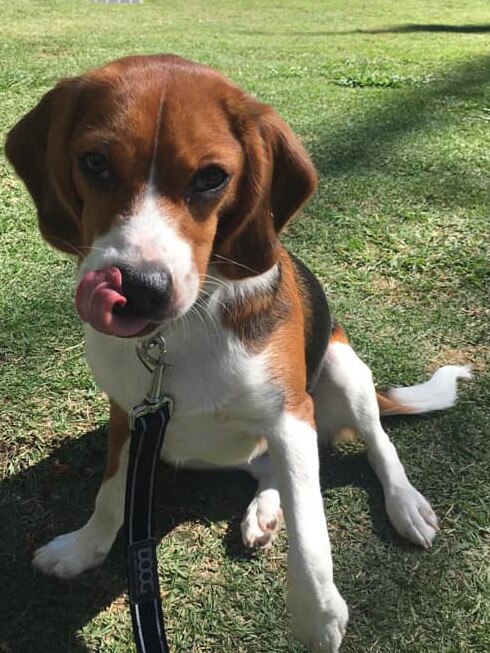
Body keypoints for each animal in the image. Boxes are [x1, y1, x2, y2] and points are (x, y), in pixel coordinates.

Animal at [4, 53, 470, 648]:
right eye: (94, 162)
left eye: (211, 178)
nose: (139, 288)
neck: (179, 333)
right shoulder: (129, 413)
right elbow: (111, 495)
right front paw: (84, 549)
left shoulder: (290, 414)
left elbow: (312, 528)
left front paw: (317, 616)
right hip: (196, 449)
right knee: (267, 468)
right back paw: (264, 510)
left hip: (343, 368)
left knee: (375, 446)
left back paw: (404, 504)